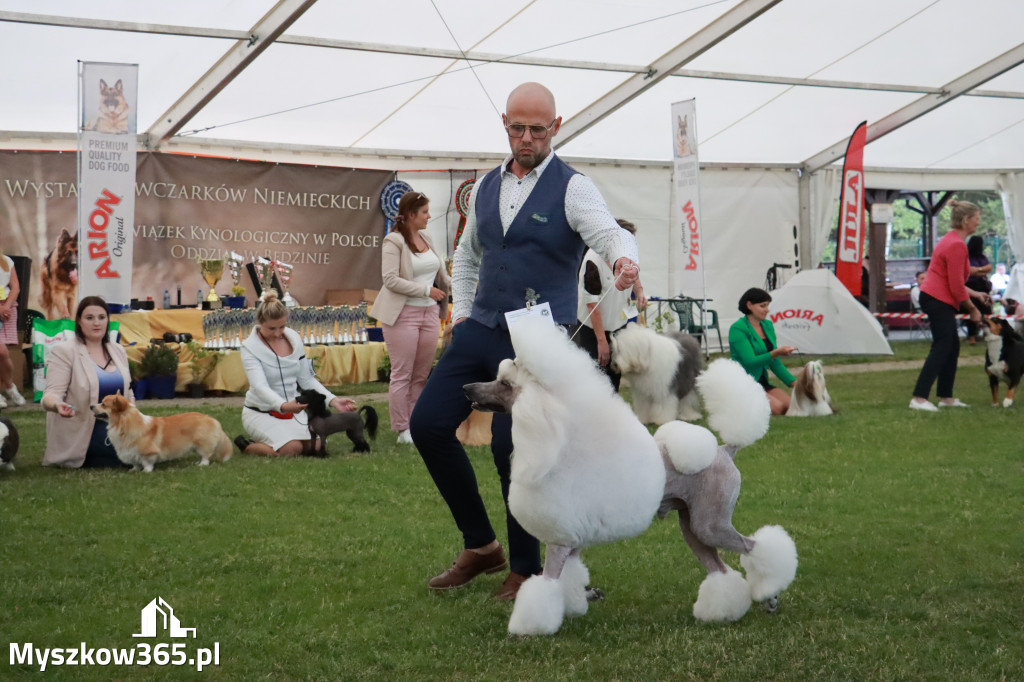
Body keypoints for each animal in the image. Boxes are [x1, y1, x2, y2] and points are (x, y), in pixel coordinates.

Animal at [91, 391, 232, 471]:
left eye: (103, 404)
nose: (91, 406)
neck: (124, 423)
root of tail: (213, 420)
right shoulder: (130, 451)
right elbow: (135, 462)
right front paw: (134, 470)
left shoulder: (148, 453)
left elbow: (147, 462)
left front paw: (146, 471)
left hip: (202, 443)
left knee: (206, 456)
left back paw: (201, 464)